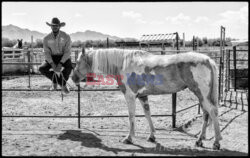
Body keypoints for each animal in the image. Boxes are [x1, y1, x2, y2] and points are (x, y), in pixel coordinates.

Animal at [71, 47, 223, 150]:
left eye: (78, 62)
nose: (73, 78)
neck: (123, 63)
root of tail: (208, 60)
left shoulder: (130, 96)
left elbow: (131, 116)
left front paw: (129, 138)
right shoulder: (143, 96)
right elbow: (147, 114)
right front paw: (152, 136)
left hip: (202, 93)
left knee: (212, 112)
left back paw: (216, 142)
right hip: (201, 95)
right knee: (206, 114)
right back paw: (199, 140)